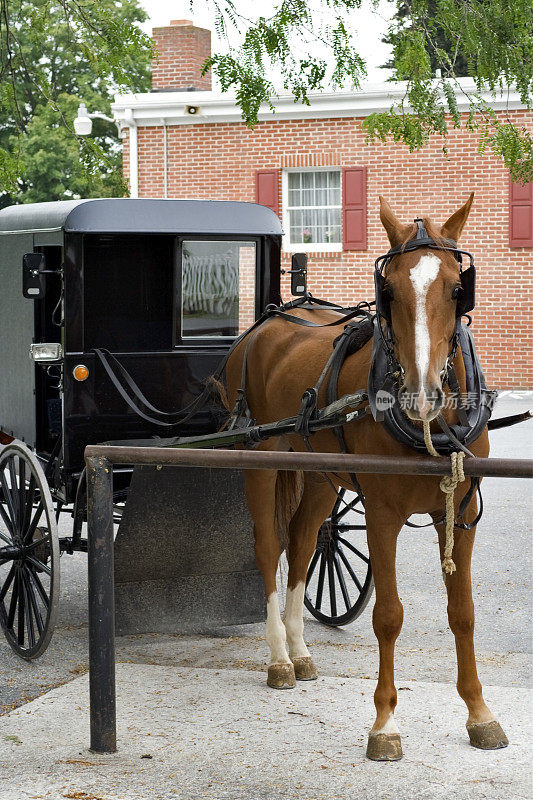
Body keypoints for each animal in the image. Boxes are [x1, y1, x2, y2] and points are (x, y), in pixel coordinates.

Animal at [220, 195, 508, 764]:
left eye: (456, 287)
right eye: (388, 290)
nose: (422, 393)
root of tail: (264, 325)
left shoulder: (461, 514)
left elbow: (463, 613)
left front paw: (479, 714)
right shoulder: (382, 514)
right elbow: (389, 616)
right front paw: (385, 723)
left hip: (320, 478)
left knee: (303, 543)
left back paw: (300, 651)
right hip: (261, 462)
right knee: (269, 548)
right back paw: (279, 659)